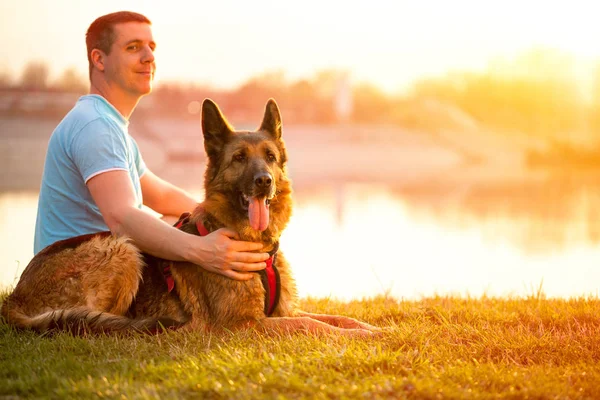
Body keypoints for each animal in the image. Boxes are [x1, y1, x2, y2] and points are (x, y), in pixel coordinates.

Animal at [1, 100, 380, 338]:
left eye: (271, 157)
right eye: (239, 158)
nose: (264, 181)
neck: (250, 239)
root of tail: (14, 297)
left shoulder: (280, 313)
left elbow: (336, 317)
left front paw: (374, 330)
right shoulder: (245, 325)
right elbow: (315, 326)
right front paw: (357, 339)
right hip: (121, 248)